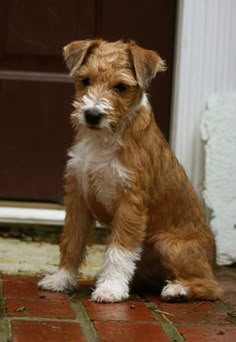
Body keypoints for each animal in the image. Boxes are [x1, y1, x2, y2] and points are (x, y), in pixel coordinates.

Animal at [37, 39, 222, 302]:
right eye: (85, 80)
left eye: (121, 87)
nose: (92, 115)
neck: (103, 139)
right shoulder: (78, 198)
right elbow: (71, 241)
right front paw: (62, 279)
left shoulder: (130, 202)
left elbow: (119, 250)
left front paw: (110, 289)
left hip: (169, 244)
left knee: (211, 286)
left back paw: (177, 289)